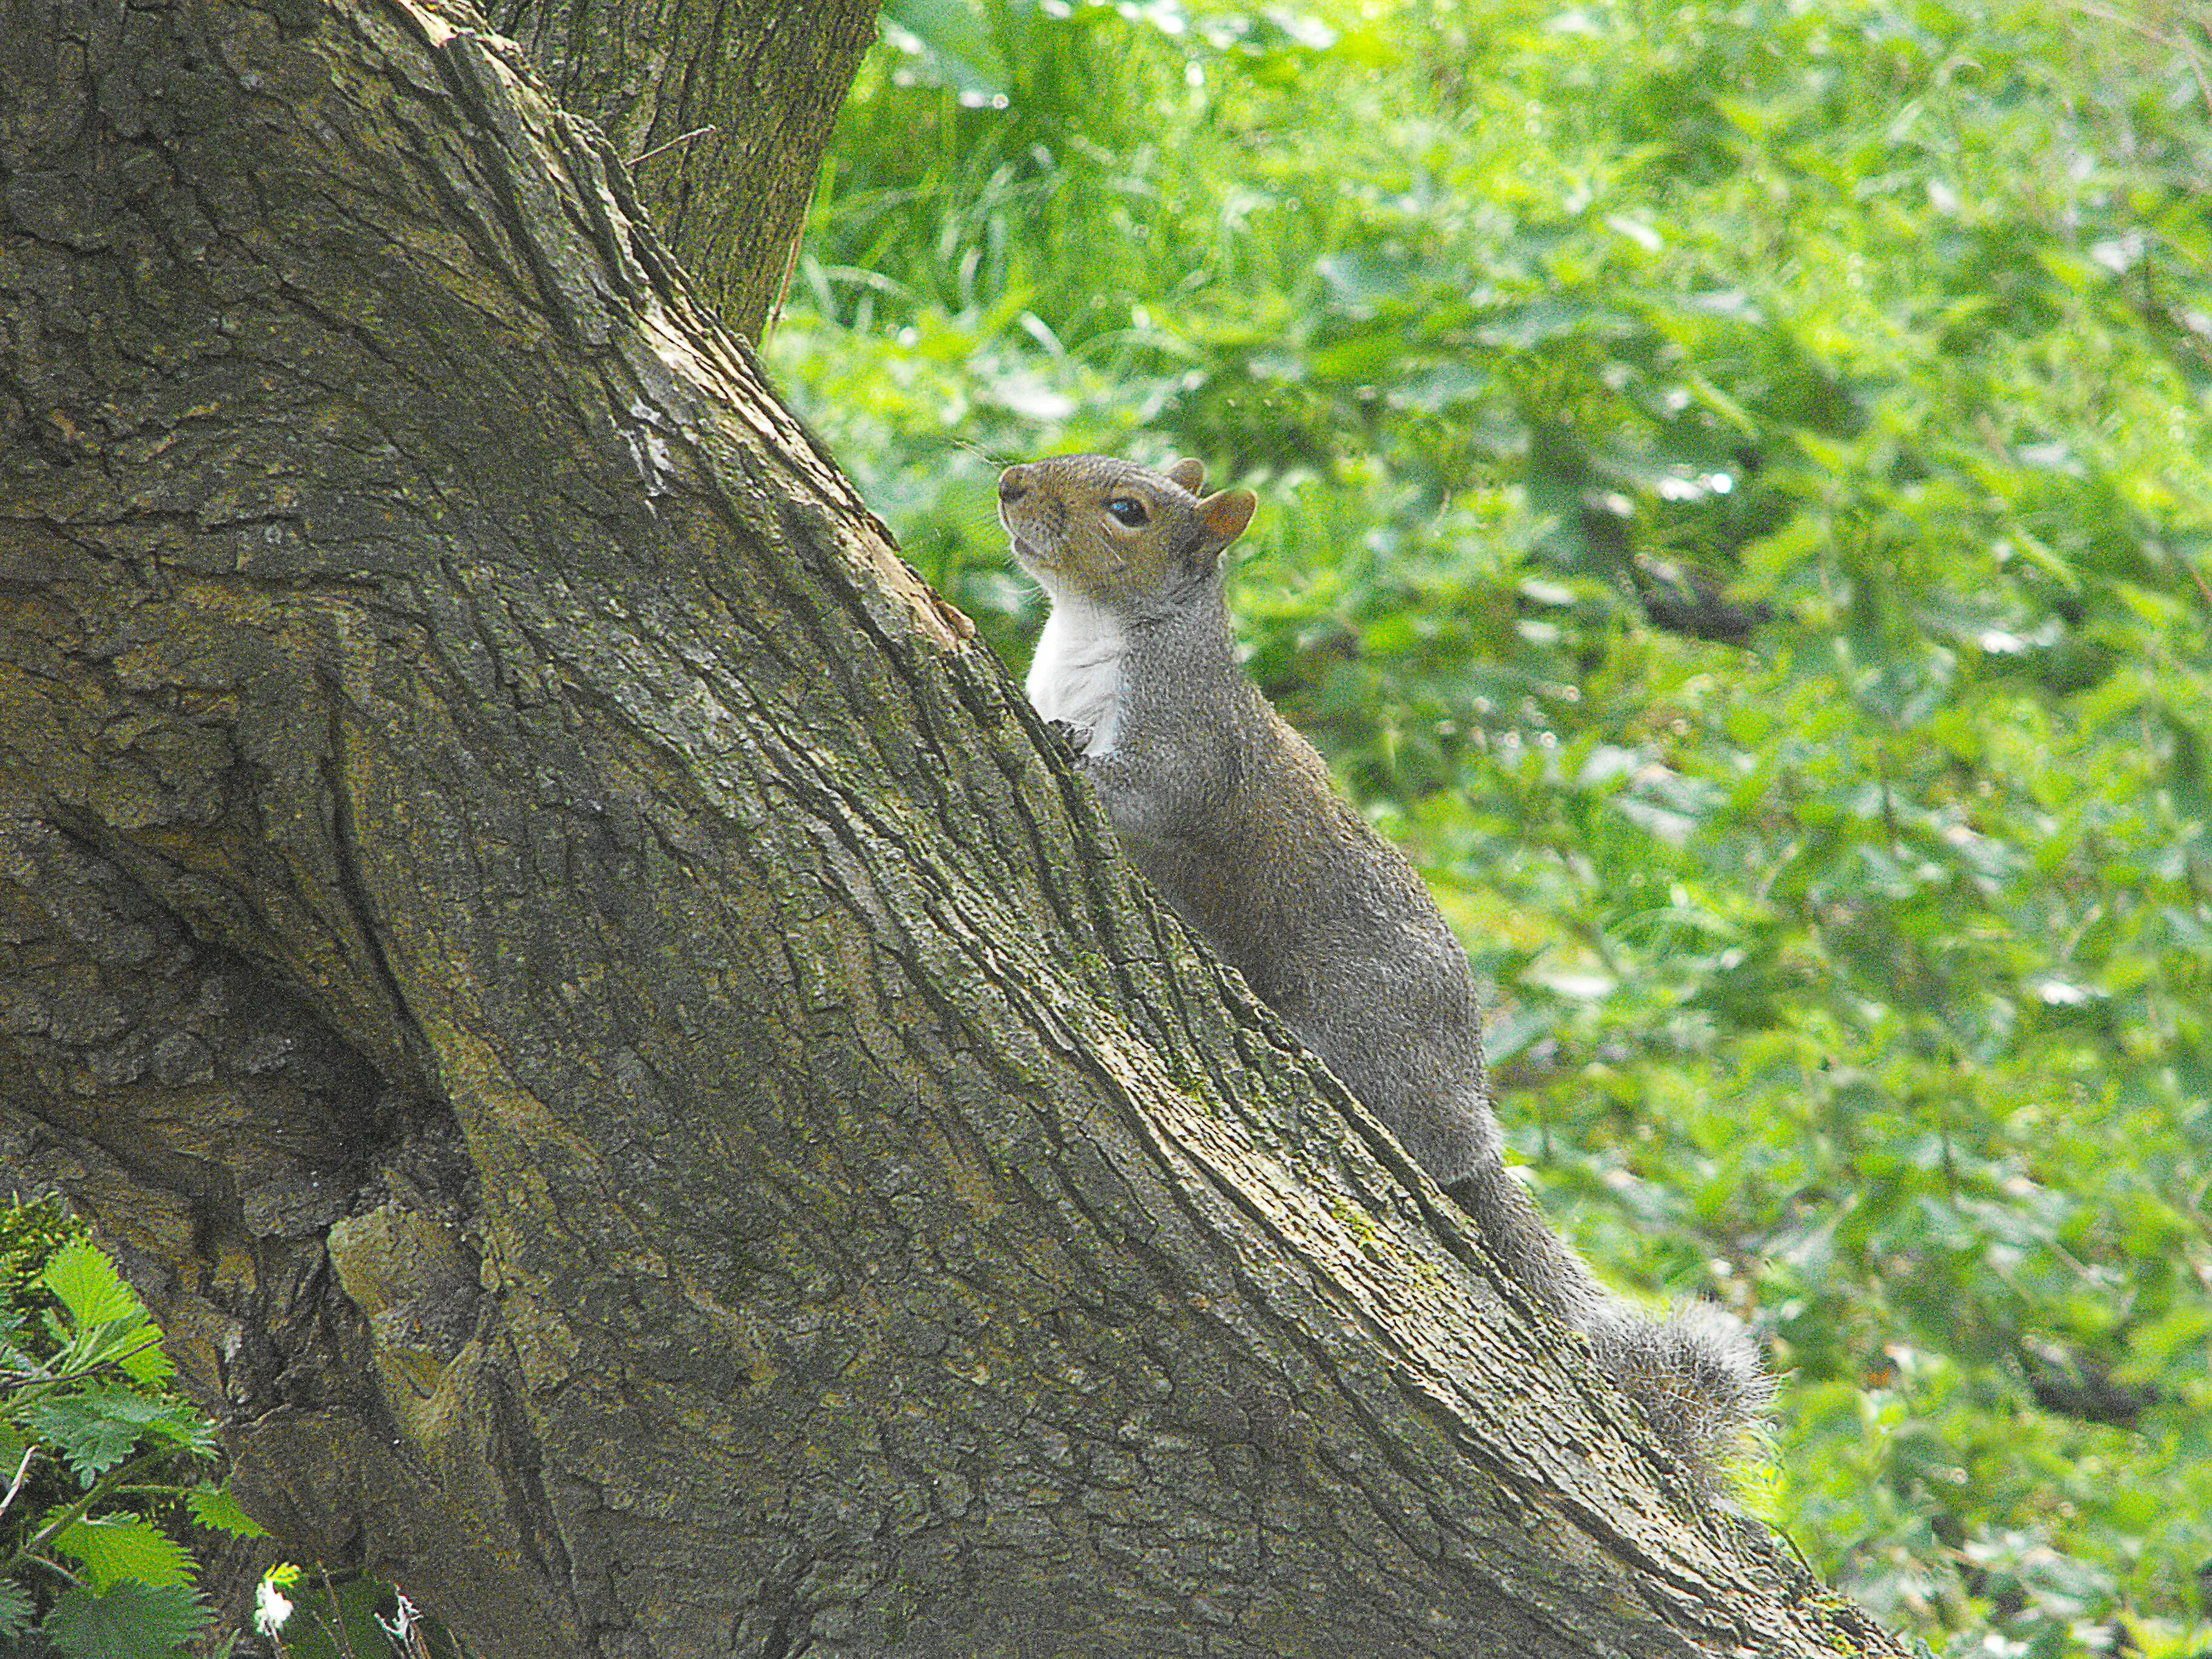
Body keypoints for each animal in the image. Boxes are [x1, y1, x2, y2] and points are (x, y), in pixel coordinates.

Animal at [998, 452, 1769, 1475]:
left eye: (1127, 511)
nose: (1009, 483)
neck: (1092, 630)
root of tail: (1470, 1119)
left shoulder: (1187, 740)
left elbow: (1150, 789)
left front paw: (1072, 752)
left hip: (1363, 1031)